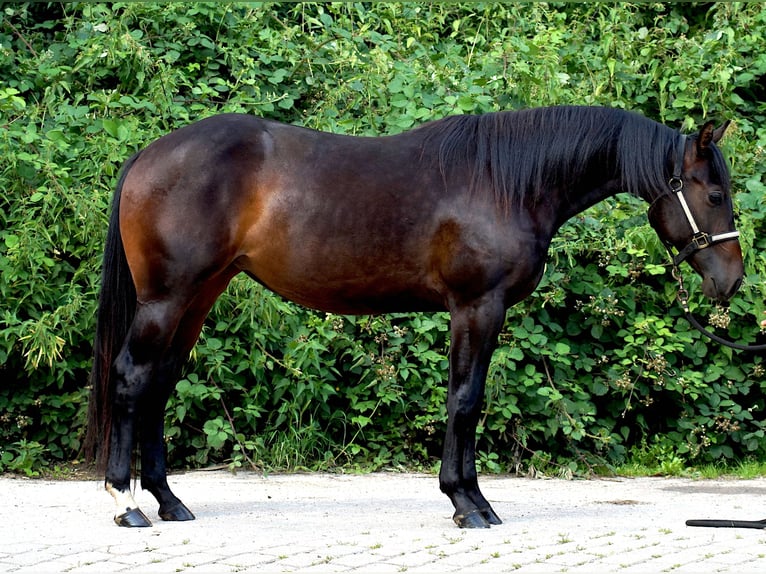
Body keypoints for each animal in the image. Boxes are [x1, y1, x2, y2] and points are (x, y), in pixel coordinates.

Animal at [84, 107, 744, 532]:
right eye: (714, 195)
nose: (732, 281)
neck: (505, 182)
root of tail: (149, 154)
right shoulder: (477, 307)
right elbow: (465, 400)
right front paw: (467, 504)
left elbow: (465, 400)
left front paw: (472, 499)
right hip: (168, 299)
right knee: (131, 378)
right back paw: (126, 503)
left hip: (199, 296)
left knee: (160, 385)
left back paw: (169, 501)